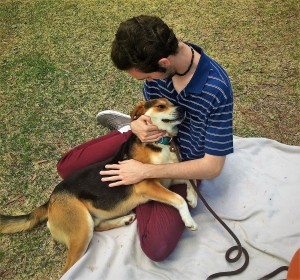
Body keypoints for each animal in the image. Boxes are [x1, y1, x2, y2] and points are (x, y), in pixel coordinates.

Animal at [0, 98, 198, 276]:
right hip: (81, 229)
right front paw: (189, 219)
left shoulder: (169, 177)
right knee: (68, 268)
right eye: (161, 106)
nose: (182, 109)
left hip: (88, 222)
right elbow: (178, 198)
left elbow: (191, 179)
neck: (159, 143)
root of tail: (50, 201)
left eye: (172, 103)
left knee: (98, 226)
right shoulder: (147, 184)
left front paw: (193, 197)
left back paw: (125, 220)